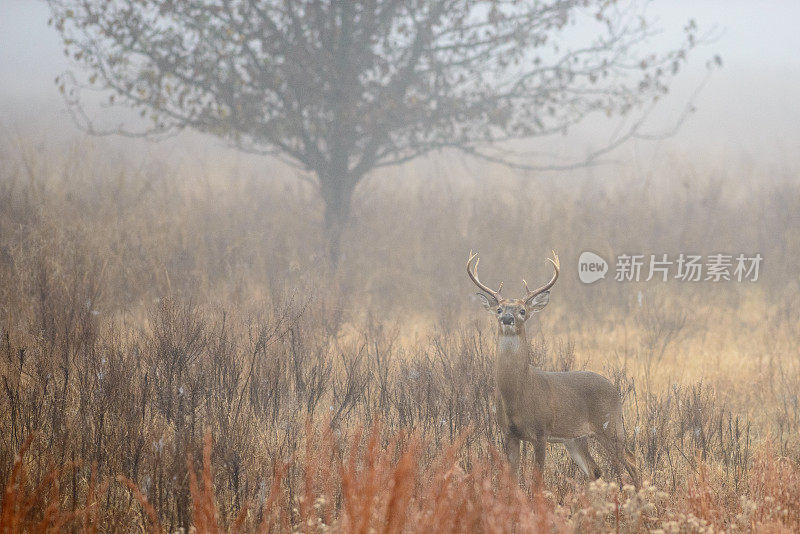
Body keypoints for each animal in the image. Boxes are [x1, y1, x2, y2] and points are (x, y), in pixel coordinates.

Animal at [466, 251, 640, 490]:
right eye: (499, 309)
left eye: (522, 310)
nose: (507, 318)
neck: (519, 394)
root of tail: (616, 389)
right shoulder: (509, 433)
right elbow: (511, 477)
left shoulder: (541, 431)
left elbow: (537, 478)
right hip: (575, 438)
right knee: (595, 470)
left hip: (610, 426)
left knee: (630, 461)